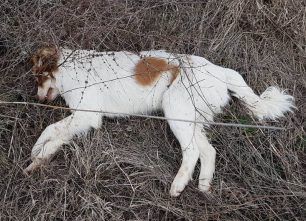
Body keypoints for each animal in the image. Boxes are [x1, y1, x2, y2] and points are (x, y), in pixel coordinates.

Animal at [25, 46, 294, 197]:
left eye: (38, 76)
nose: (36, 97)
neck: (68, 67)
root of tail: (219, 70)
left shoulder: (86, 115)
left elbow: (53, 131)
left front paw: (37, 154)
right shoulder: (80, 116)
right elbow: (54, 134)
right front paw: (38, 156)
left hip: (176, 110)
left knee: (193, 151)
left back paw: (178, 184)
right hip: (191, 119)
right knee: (209, 151)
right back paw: (203, 185)